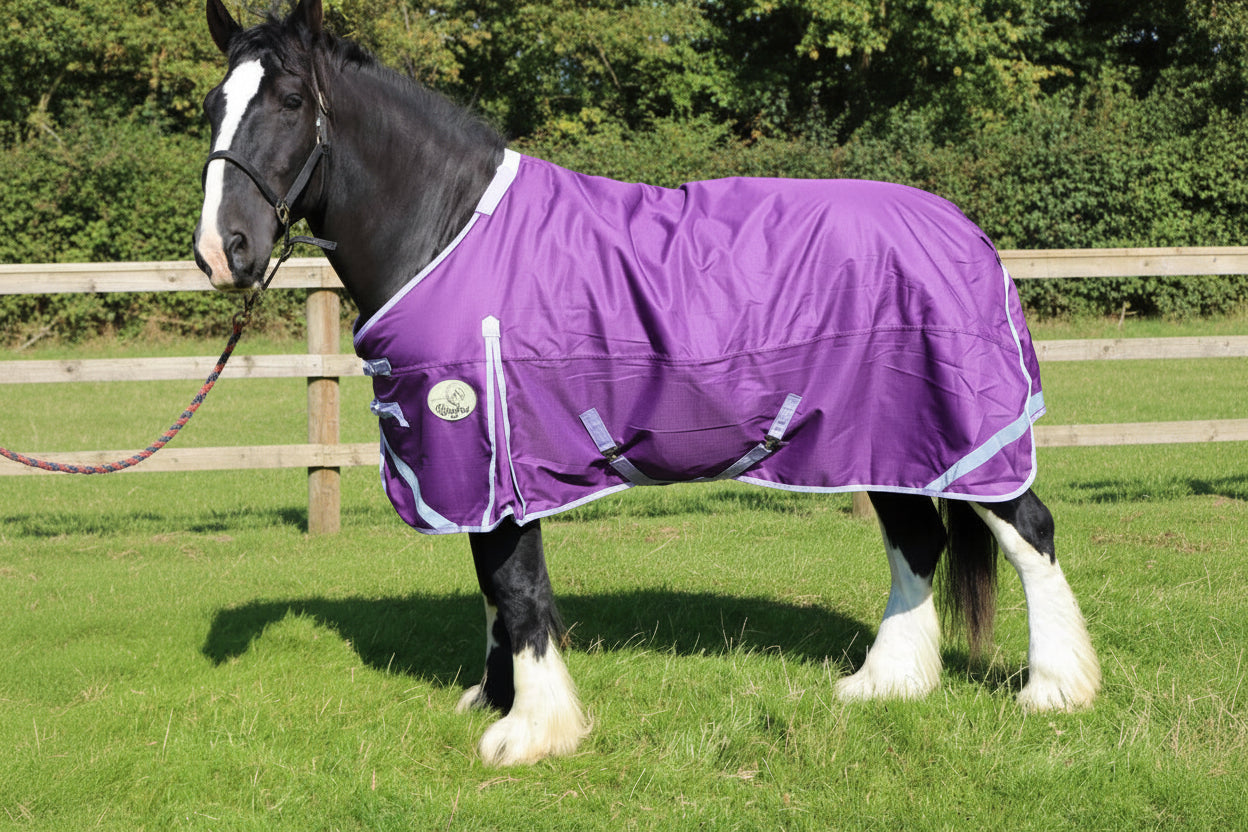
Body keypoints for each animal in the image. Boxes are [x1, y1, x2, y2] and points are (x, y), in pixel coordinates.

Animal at [192, 0, 1101, 766]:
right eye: (211, 107)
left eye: (287, 100)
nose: (221, 251)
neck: (449, 232)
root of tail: (964, 230)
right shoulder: (472, 468)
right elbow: (490, 582)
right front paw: (497, 697)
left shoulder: (496, 450)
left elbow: (515, 584)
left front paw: (530, 731)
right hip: (887, 440)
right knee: (916, 541)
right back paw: (887, 682)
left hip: (964, 433)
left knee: (1028, 531)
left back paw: (1055, 689)